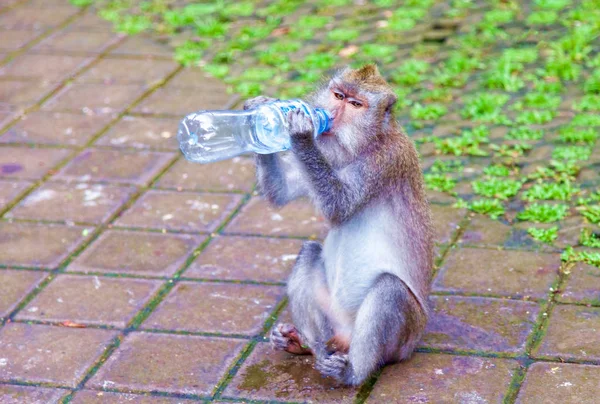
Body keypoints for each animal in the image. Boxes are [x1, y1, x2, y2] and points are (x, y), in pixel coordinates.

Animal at [241, 64, 434, 386]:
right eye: (338, 95)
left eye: (356, 104)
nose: (331, 113)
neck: (365, 142)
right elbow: (282, 192)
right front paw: (259, 111)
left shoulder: (384, 160)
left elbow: (339, 206)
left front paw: (300, 131)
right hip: (334, 317)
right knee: (308, 253)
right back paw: (307, 345)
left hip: (404, 339)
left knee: (389, 288)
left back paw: (352, 372)